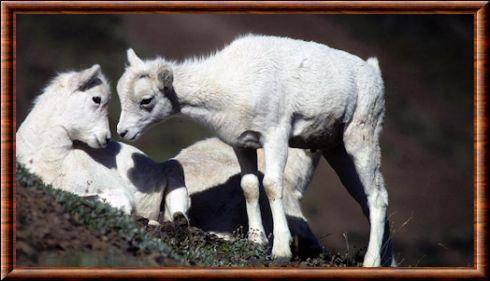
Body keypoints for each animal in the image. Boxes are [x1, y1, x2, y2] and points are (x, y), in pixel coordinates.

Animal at [117, 33, 396, 264]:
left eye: (146, 100)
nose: (122, 132)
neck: (231, 84)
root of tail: (373, 72)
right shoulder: (243, 145)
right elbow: (250, 187)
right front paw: (256, 240)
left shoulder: (275, 137)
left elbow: (271, 185)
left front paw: (281, 250)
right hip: (337, 151)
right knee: (367, 200)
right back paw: (388, 262)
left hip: (361, 139)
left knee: (377, 197)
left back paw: (371, 262)